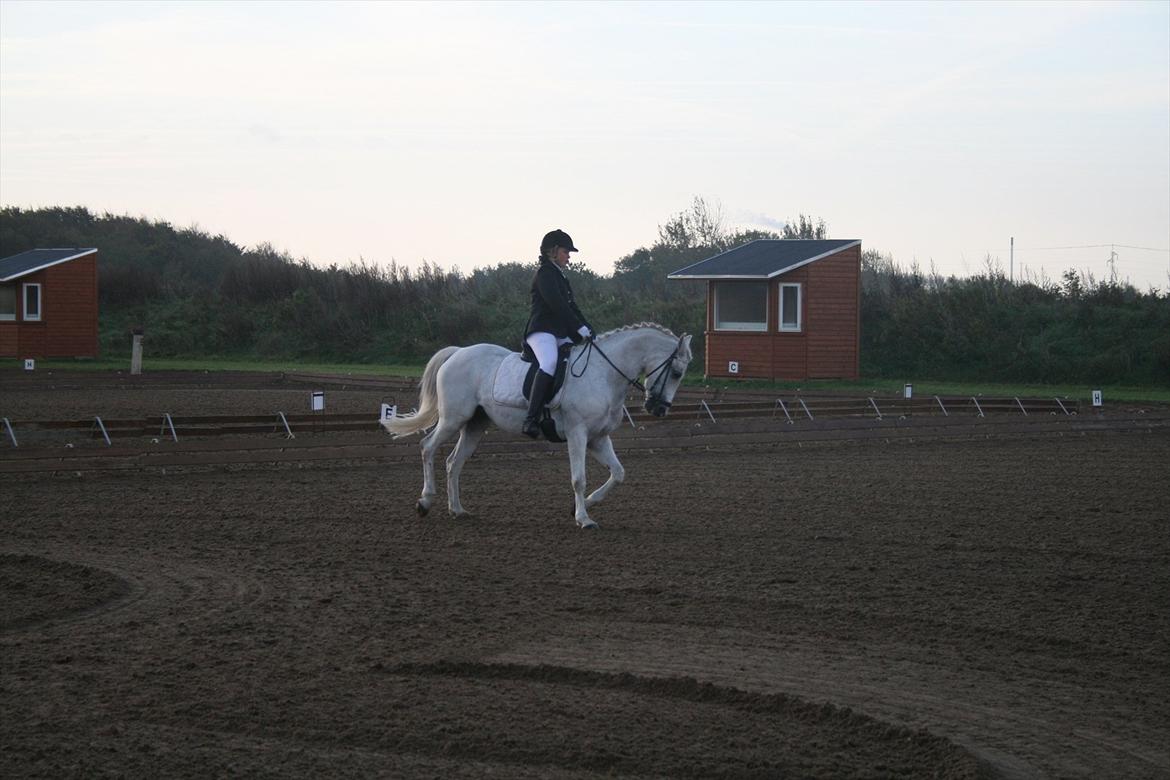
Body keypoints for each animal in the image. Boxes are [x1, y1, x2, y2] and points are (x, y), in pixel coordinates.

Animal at [382, 323, 694, 529]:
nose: (658, 409)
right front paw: (583, 518)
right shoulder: (578, 434)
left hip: (474, 425)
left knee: (453, 462)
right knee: (427, 448)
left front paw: (586, 504)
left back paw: (457, 510)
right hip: (453, 419)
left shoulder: (598, 438)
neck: (604, 373)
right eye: (677, 373)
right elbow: (578, 478)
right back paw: (424, 502)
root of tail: (458, 352)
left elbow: (618, 473)